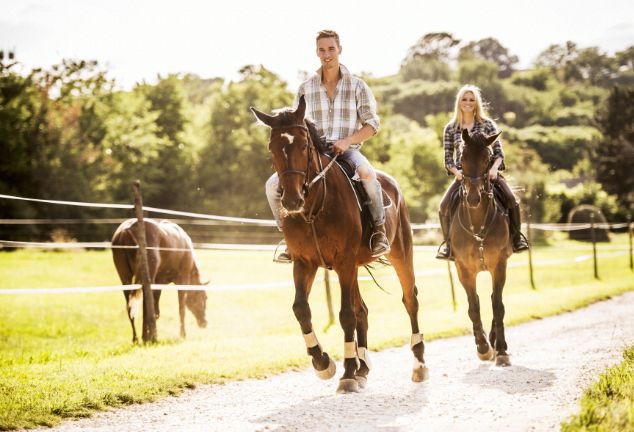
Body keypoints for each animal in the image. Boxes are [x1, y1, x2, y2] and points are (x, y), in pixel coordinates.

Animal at [249, 96, 428, 394]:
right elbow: (301, 309)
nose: (291, 201)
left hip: (400, 254)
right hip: (354, 267)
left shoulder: (344, 262)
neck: (315, 206)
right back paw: (363, 369)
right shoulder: (304, 263)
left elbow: (346, 316)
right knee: (363, 311)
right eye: (272, 147)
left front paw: (346, 373)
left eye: (304, 145)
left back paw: (418, 365)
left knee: (409, 300)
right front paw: (323, 362)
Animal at [452, 129, 512, 368]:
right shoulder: (464, 270)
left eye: (488, 160)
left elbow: (497, 305)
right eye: (462, 158)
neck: (478, 223)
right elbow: (473, 306)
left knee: (496, 300)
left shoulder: (499, 265)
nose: (474, 198)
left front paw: (501, 349)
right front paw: (483, 347)